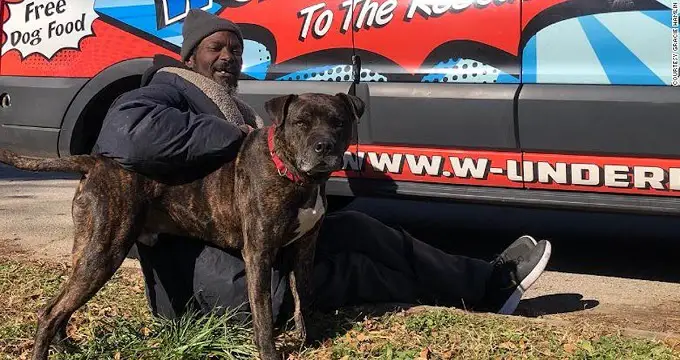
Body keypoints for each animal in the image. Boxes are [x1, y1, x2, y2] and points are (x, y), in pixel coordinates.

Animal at [0, 91, 366, 358]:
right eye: (301, 123)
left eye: (338, 122)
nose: (324, 146)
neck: (293, 175)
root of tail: (96, 161)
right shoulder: (259, 255)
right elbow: (263, 314)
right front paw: (270, 353)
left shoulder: (304, 250)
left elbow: (305, 296)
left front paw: (308, 341)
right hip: (104, 252)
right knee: (50, 312)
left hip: (86, 251)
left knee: (61, 306)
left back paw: (66, 347)